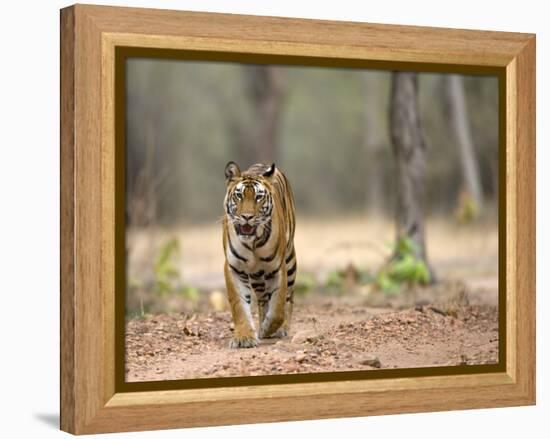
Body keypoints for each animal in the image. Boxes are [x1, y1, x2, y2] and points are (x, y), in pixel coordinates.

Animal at [223, 162, 298, 350]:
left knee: (289, 296)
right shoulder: (234, 268)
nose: (247, 217)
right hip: (256, 276)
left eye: (258, 197)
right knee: (263, 299)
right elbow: (239, 305)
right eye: (239, 196)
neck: (253, 243)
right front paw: (244, 337)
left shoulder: (278, 268)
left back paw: (281, 328)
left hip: (290, 260)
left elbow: (278, 307)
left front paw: (268, 328)